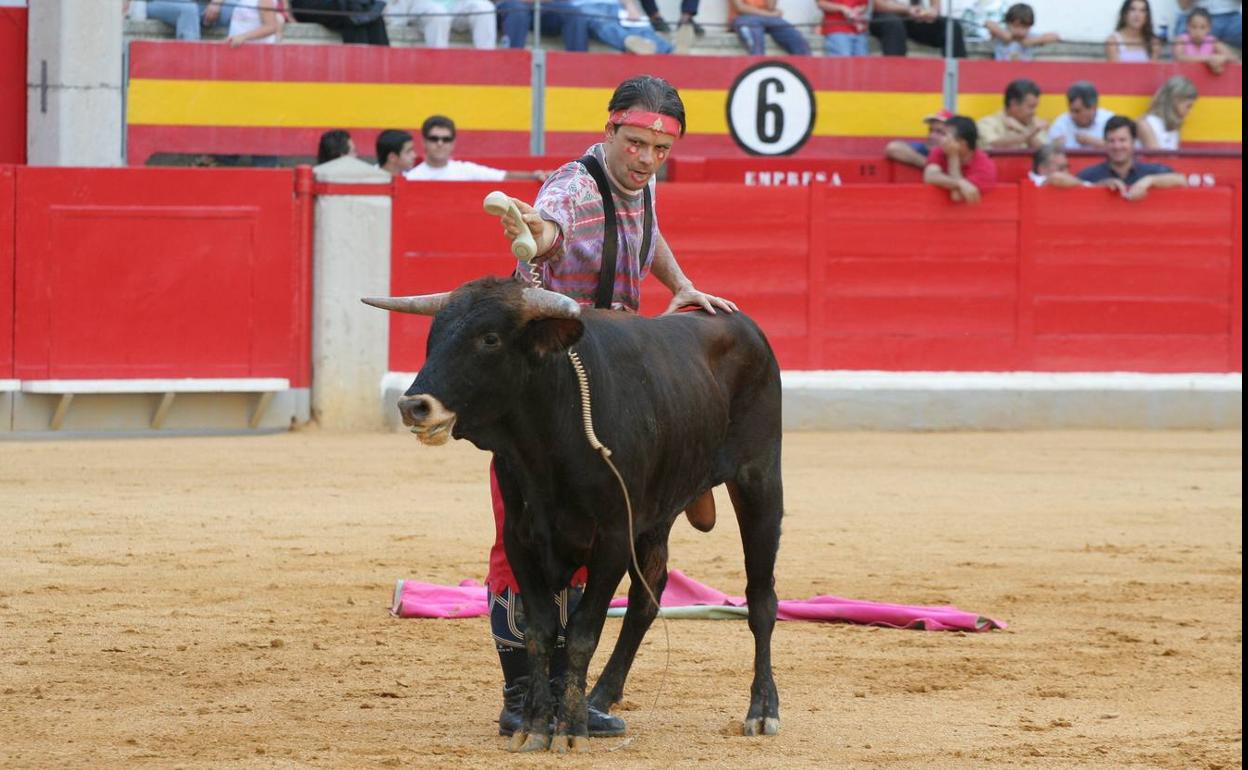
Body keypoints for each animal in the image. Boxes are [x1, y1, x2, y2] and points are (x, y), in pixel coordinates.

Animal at [364, 275, 783, 748]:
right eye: (433, 338)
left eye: (489, 339)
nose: (413, 407)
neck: (547, 439)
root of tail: (744, 326)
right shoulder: (520, 537)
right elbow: (540, 630)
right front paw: (533, 725)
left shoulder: (613, 537)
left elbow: (582, 630)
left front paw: (568, 728)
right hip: (657, 512)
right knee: (647, 597)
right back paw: (599, 699)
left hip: (759, 481)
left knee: (760, 597)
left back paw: (762, 710)